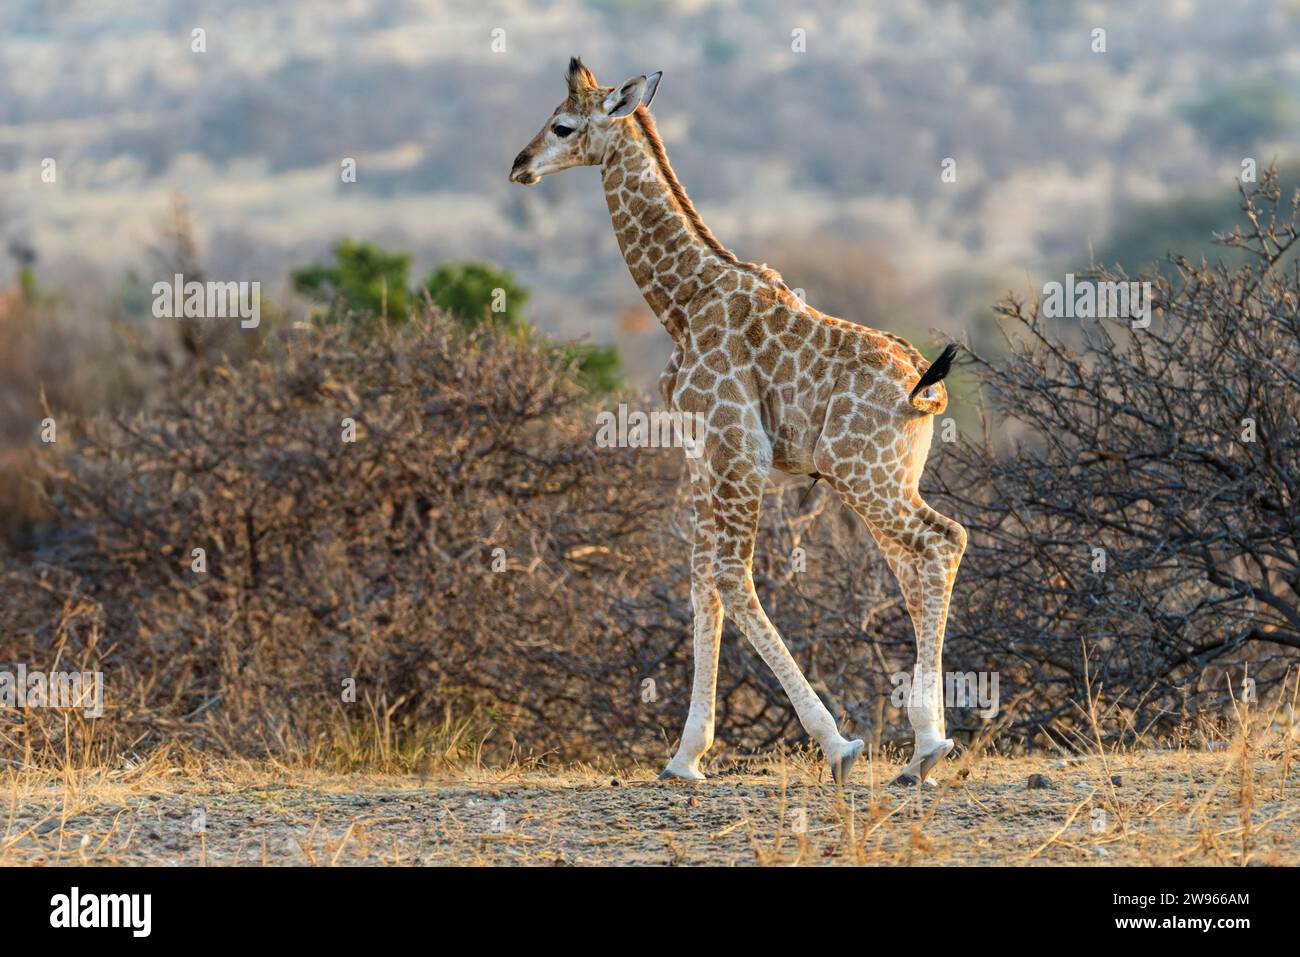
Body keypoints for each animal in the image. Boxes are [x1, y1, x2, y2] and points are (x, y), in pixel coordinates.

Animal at [510, 58, 966, 786]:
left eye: (562, 125)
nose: (519, 166)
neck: (684, 298)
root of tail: (927, 388)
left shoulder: (738, 445)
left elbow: (731, 576)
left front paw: (837, 744)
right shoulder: (701, 451)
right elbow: (701, 578)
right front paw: (684, 756)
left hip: (863, 473)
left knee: (942, 541)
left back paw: (927, 744)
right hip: (887, 475)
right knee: (913, 561)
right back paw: (926, 744)